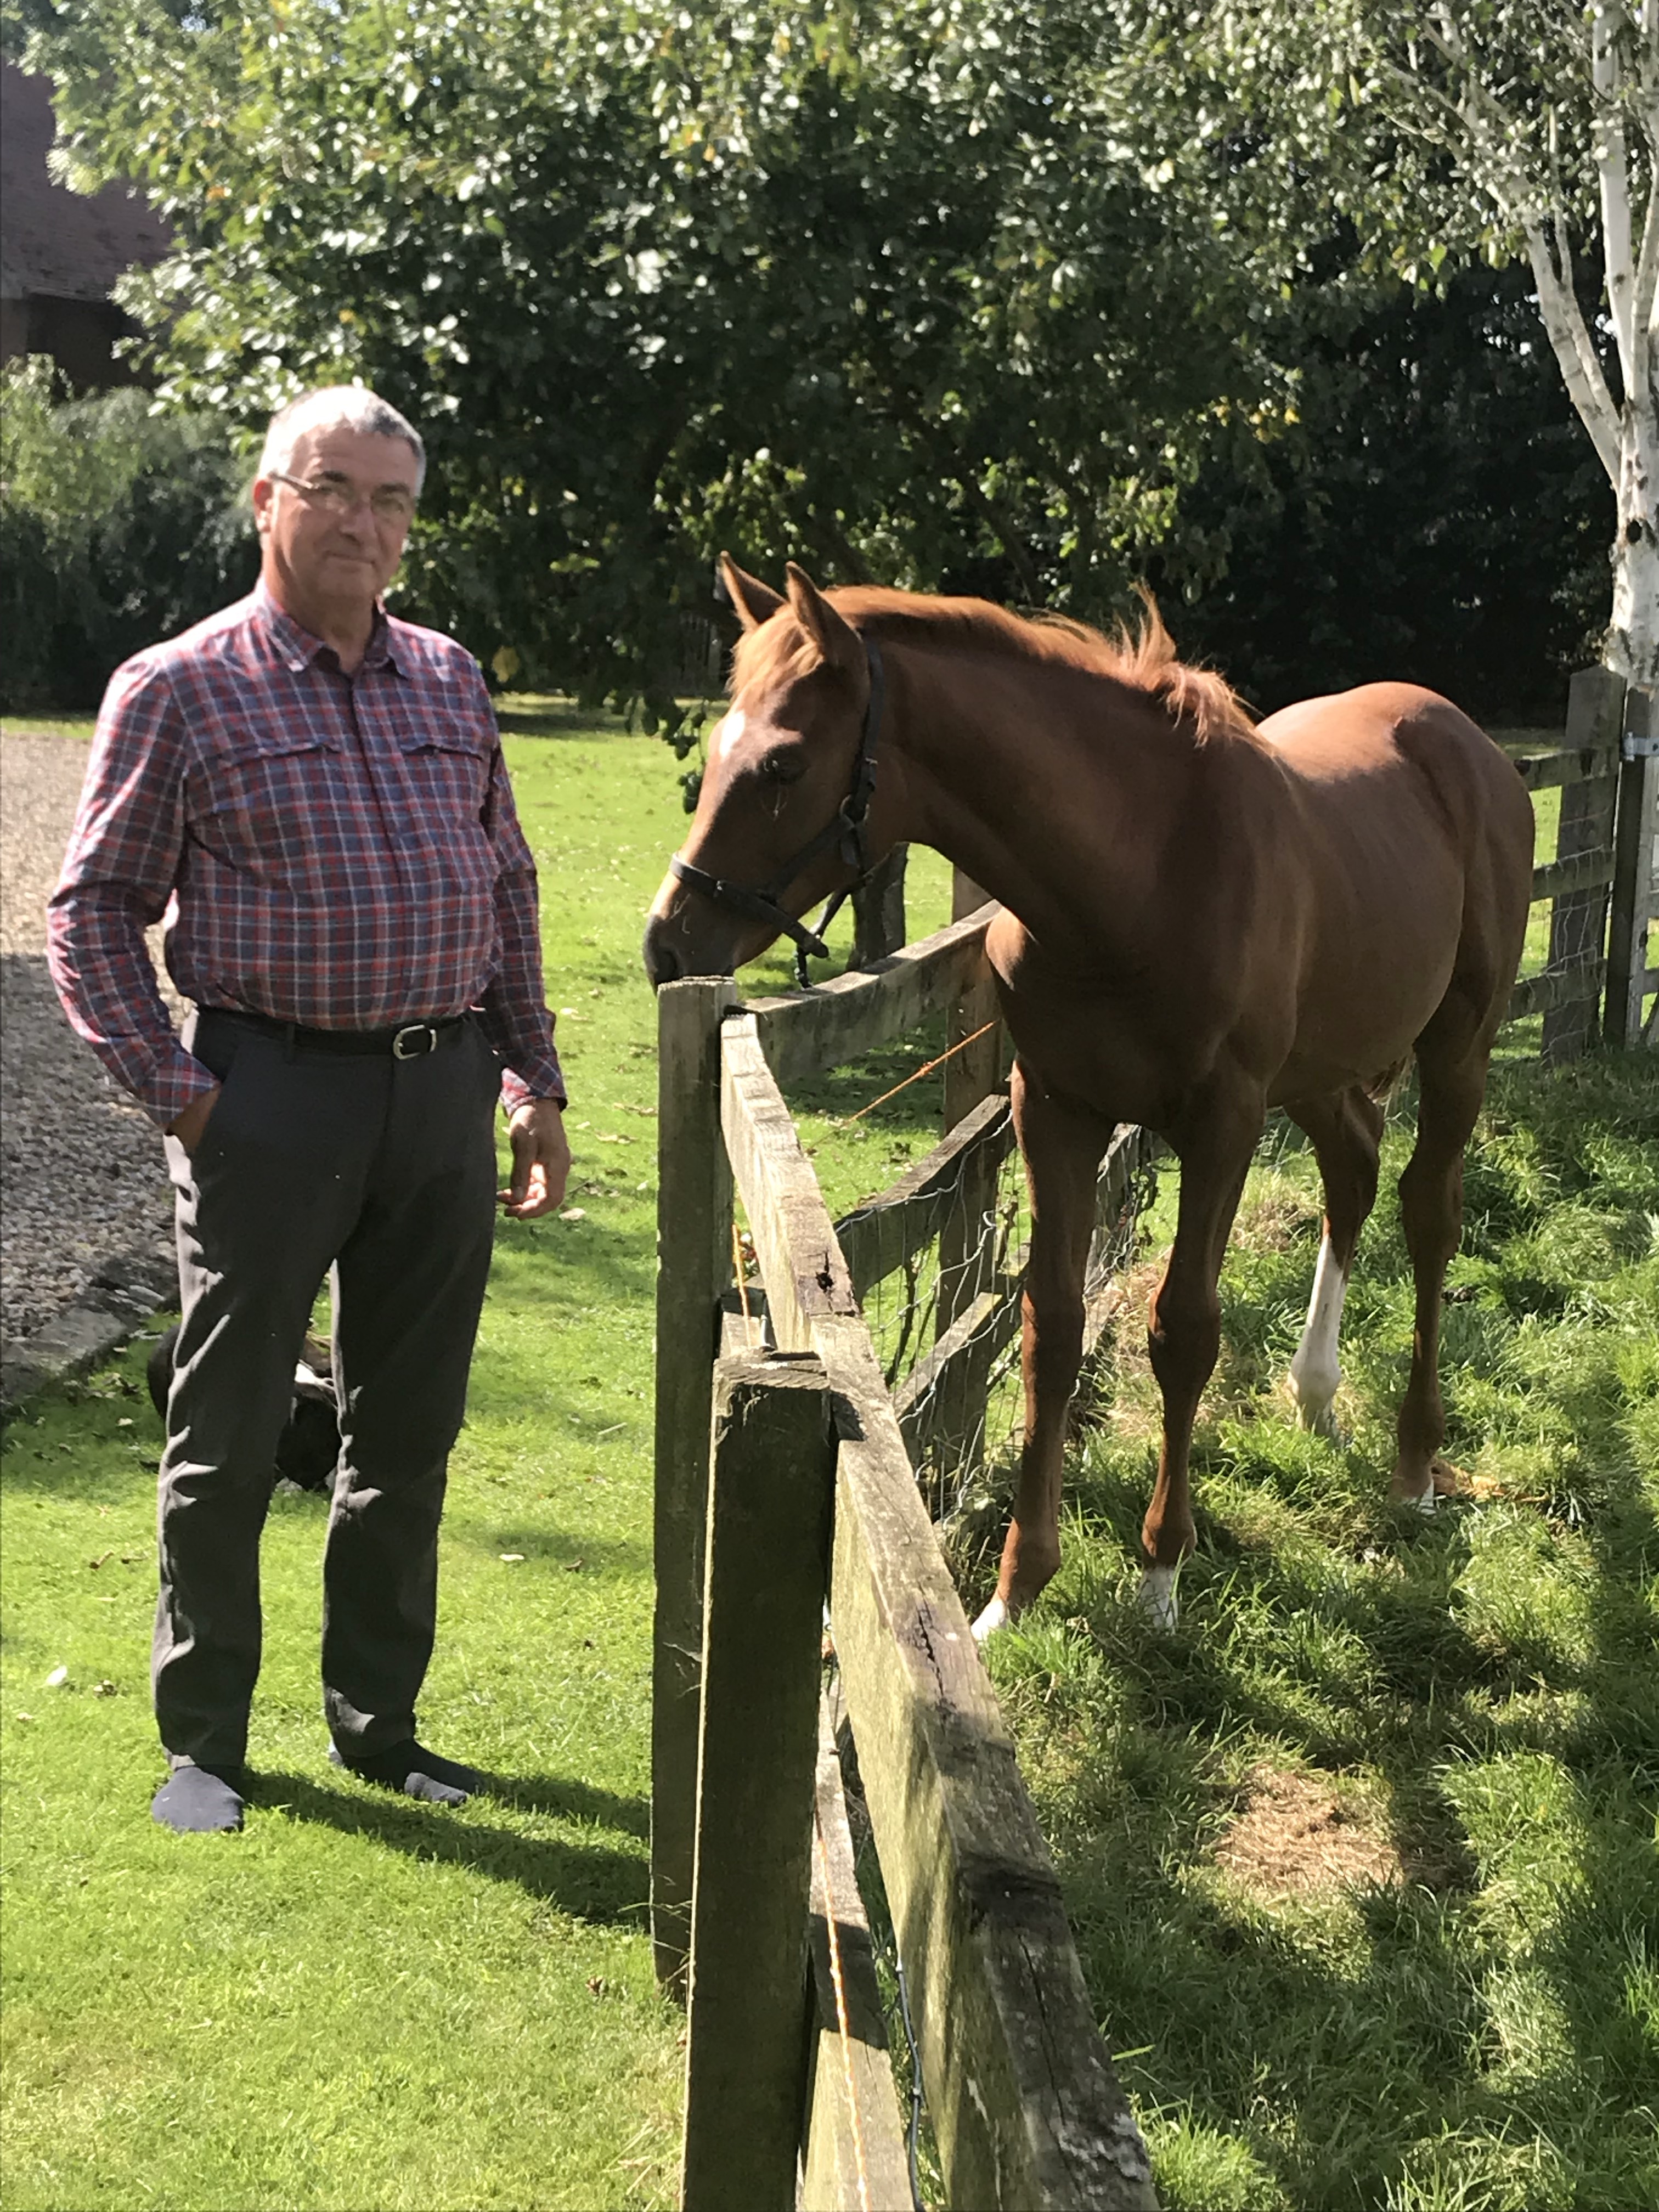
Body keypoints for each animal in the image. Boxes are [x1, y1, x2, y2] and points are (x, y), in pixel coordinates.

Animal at [641, 562, 1539, 1637]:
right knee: (1354, 1173)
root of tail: (1474, 749)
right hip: (1322, 1073)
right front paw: (1014, 1590)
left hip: (1456, 1049)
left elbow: (1183, 1331)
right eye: (717, 743)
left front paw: (1159, 1573)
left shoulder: (1224, 1124)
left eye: (781, 765)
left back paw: (1412, 1465)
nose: (668, 945)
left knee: (1428, 1212)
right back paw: (1315, 1393)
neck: (1137, 875)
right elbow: (1051, 1328)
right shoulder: (1056, 1109)